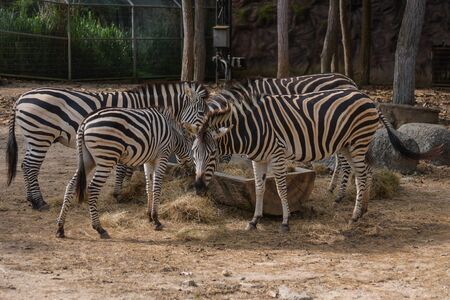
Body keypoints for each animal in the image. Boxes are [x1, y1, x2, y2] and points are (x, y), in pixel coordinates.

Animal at [5, 81, 209, 210]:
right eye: (201, 112)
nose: (204, 134)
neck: (144, 105)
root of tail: (20, 98)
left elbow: (129, 167)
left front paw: (126, 188)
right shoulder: (131, 135)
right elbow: (123, 169)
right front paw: (119, 193)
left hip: (33, 138)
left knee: (25, 165)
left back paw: (31, 199)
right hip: (41, 136)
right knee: (31, 166)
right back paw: (39, 202)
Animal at [55, 106, 191, 238]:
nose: (190, 174)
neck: (173, 135)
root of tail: (85, 122)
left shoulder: (148, 160)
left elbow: (149, 187)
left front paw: (149, 216)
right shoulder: (162, 156)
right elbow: (156, 187)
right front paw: (156, 220)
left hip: (87, 159)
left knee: (71, 185)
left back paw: (60, 228)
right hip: (107, 157)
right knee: (93, 188)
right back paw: (99, 228)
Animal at [184, 86, 442, 232]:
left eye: (212, 155)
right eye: (194, 154)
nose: (197, 187)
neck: (252, 129)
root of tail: (369, 98)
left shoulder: (278, 155)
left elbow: (280, 189)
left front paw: (285, 221)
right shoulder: (259, 159)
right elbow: (258, 188)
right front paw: (255, 220)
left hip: (358, 141)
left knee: (361, 175)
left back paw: (355, 216)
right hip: (349, 145)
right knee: (366, 172)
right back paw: (364, 210)